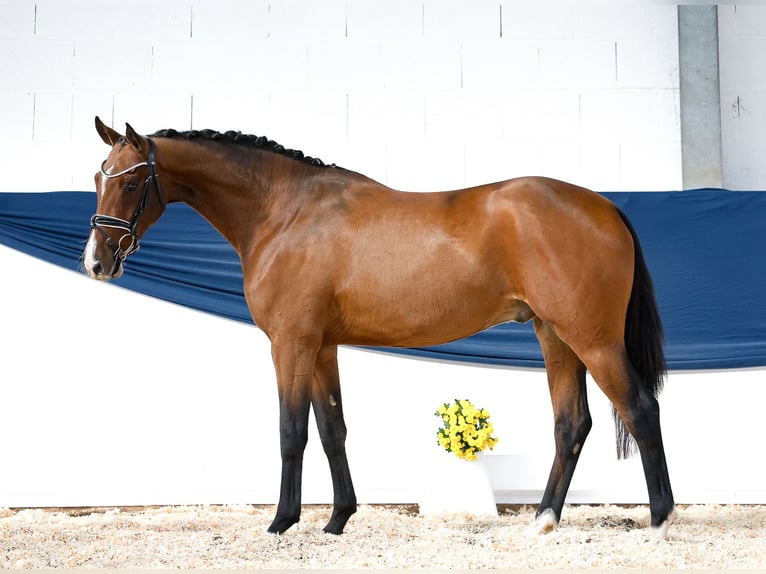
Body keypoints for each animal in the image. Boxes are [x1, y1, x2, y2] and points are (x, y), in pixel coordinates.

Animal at [81, 116, 676, 540]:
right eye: (97, 177)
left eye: (131, 182)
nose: (95, 261)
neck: (285, 212)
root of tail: (605, 207)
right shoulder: (322, 348)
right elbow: (332, 430)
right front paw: (336, 520)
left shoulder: (291, 344)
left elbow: (291, 432)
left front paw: (281, 522)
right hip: (556, 337)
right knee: (571, 423)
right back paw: (544, 519)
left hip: (594, 340)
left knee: (640, 409)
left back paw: (660, 520)